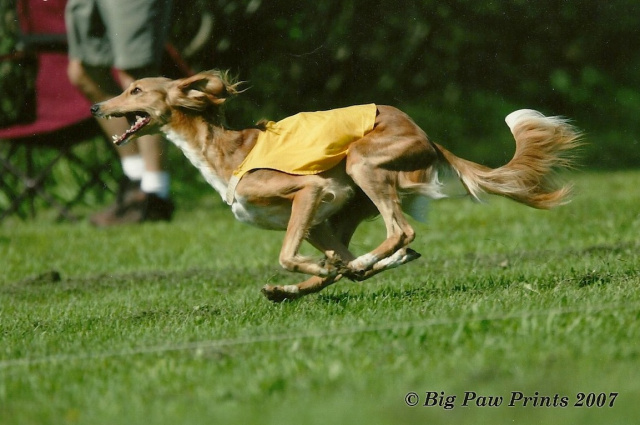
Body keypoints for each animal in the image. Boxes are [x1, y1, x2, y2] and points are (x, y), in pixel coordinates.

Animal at [92, 69, 584, 300]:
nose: (97, 106)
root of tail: (424, 133)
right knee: (377, 255)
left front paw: (320, 268)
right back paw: (299, 288)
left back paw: (358, 262)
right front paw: (320, 273)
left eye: (136, 90)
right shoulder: (317, 217)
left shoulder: (310, 193)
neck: (225, 153)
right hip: (346, 206)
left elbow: (288, 256)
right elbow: (325, 262)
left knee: (399, 233)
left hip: (362, 164)